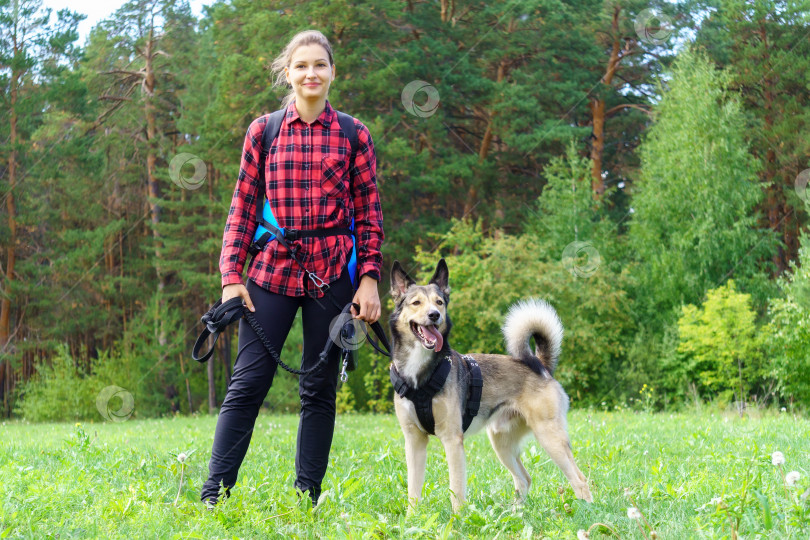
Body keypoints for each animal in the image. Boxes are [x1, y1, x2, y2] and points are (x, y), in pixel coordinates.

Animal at [388, 260, 592, 512]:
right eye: (416, 302)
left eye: (439, 302)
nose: (434, 315)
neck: (420, 374)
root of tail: (541, 366)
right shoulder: (414, 441)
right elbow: (413, 491)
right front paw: (412, 518)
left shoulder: (452, 440)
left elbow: (456, 491)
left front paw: (458, 519)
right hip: (502, 443)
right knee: (524, 478)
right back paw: (516, 512)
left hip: (550, 437)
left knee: (580, 479)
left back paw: (587, 511)